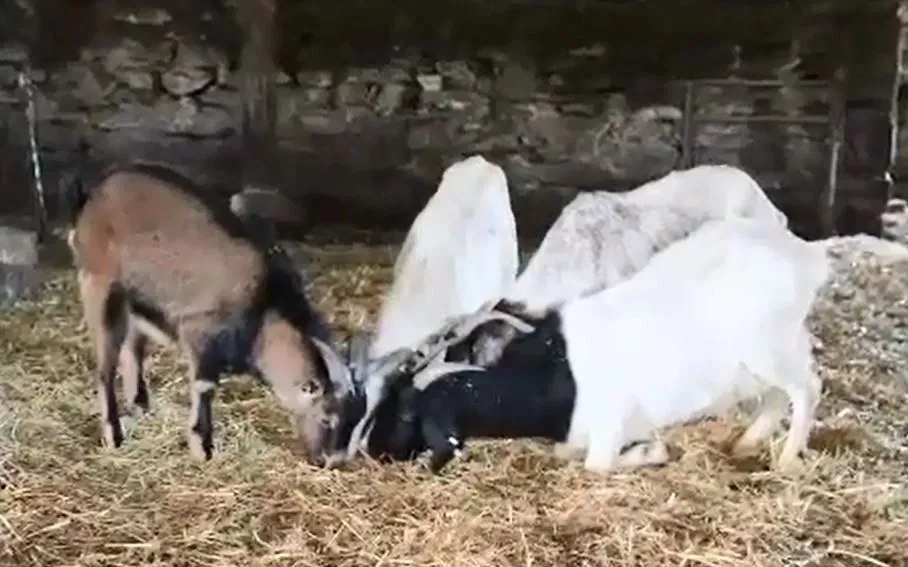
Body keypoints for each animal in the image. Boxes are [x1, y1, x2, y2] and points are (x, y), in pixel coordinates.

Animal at [66, 162, 353, 465]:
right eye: (326, 419)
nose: (324, 460)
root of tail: (96, 194)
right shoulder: (200, 333)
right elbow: (205, 386)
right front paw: (201, 446)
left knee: (131, 349)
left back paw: (139, 406)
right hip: (98, 285)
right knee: (105, 368)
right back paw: (113, 435)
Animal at [350, 217, 829, 474]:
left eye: (406, 410)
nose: (372, 450)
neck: (556, 377)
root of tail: (805, 256)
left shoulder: (608, 424)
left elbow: (598, 464)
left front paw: (651, 452)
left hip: (771, 346)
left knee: (808, 388)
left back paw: (787, 457)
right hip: (765, 356)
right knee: (779, 394)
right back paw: (747, 443)